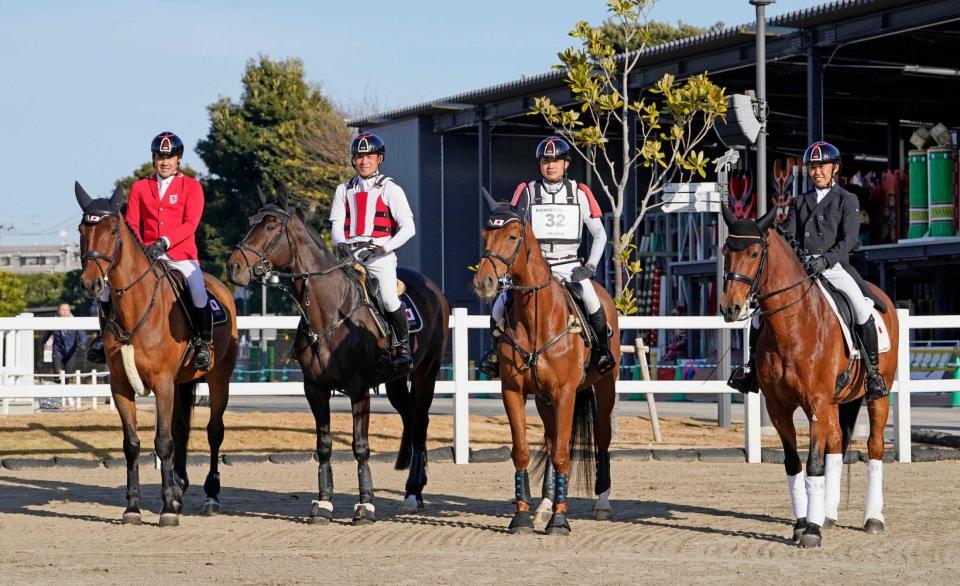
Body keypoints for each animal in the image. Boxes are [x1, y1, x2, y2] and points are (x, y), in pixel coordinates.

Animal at [74, 182, 238, 527]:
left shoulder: (162, 383)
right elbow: (133, 444)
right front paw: (134, 508)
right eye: (83, 229)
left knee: (213, 432)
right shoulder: (121, 387)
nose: (91, 283)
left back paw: (210, 496)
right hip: (180, 384)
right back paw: (178, 487)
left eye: (112, 230)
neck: (134, 308)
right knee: (182, 430)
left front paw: (166, 511)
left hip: (219, 379)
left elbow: (163, 442)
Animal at [227, 187, 449, 524]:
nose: (234, 267)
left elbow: (360, 446)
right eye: (251, 221)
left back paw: (413, 493)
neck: (331, 310)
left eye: (270, 226)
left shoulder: (359, 389)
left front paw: (365, 504)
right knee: (411, 420)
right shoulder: (315, 389)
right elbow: (324, 445)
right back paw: (414, 489)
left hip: (427, 373)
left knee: (421, 422)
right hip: (396, 383)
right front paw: (324, 502)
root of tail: (434, 290)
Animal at [472, 202, 620, 535]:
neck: (536, 319)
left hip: (605, 388)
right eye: (484, 235)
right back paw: (544, 506)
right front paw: (522, 515)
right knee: (552, 440)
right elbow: (523, 451)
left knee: (600, 439)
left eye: (513, 236)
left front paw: (560, 521)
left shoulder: (565, 392)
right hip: (544, 400)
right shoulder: (514, 391)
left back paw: (603, 504)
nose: (484, 283)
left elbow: (564, 453)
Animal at [719, 206, 898, 548]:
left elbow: (814, 463)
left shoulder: (816, 403)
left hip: (876, 396)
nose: (730, 308)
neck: (793, 324)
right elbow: (794, 463)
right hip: (836, 403)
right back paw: (827, 515)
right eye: (725, 251)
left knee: (875, 446)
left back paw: (873, 519)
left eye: (754, 252)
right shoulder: (779, 408)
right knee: (838, 444)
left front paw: (811, 532)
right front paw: (803, 523)